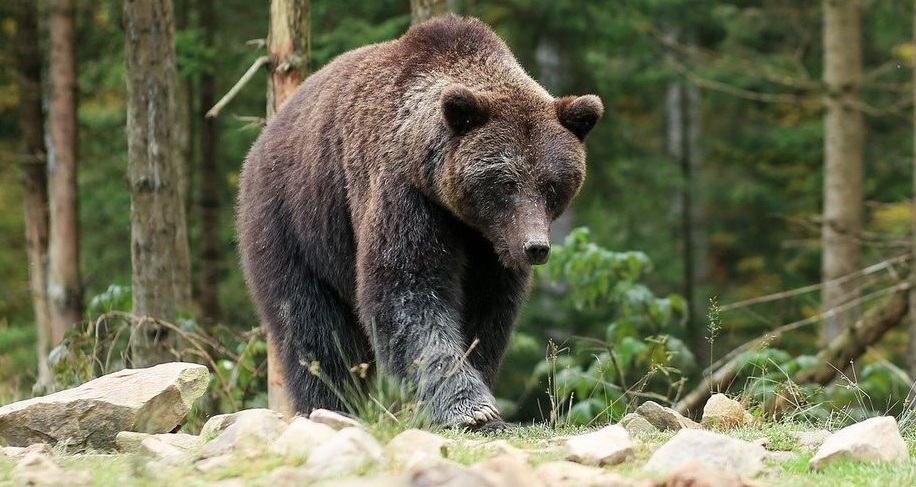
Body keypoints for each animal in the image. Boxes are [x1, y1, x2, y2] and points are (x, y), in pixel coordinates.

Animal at [237, 14, 603, 429]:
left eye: (551, 184)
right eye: (506, 183)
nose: (535, 247)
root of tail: (266, 135)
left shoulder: (489, 245)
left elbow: (486, 310)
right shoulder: (404, 193)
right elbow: (407, 287)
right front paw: (471, 407)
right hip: (294, 220)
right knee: (312, 326)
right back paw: (331, 404)